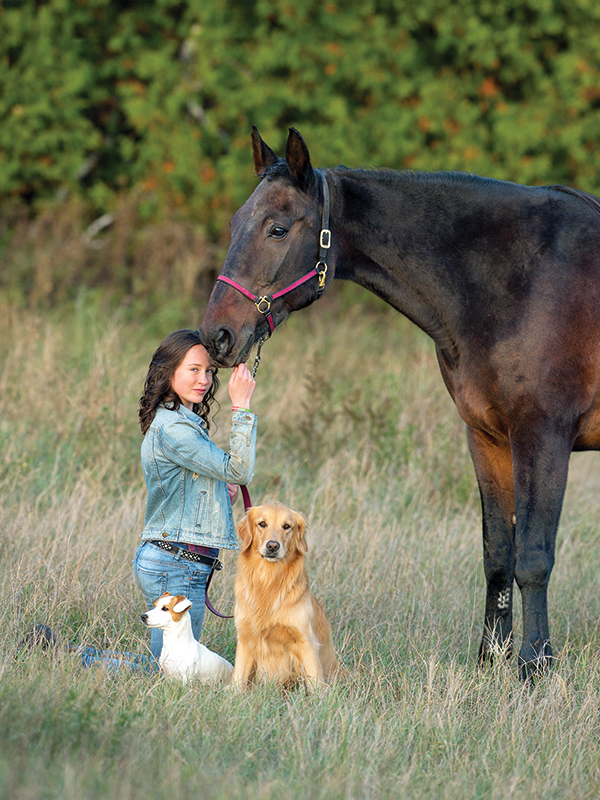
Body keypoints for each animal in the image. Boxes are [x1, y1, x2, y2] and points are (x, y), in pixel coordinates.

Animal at [201, 127, 600, 681]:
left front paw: (534, 666)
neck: (523, 281)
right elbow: (498, 552)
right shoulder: (487, 437)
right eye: (238, 221)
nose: (216, 335)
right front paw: (490, 660)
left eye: (277, 229)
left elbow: (534, 557)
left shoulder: (544, 436)